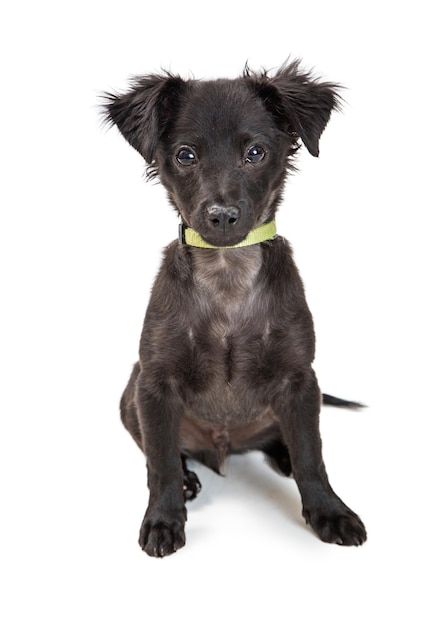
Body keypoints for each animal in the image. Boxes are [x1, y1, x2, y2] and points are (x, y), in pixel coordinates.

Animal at [104, 59, 368, 556]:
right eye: (186, 155)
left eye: (256, 152)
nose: (222, 215)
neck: (227, 276)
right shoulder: (154, 384)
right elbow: (160, 462)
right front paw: (164, 518)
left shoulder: (300, 379)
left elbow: (312, 454)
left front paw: (329, 511)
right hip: (131, 393)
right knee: (157, 449)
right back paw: (189, 478)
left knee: (287, 439)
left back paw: (282, 457)